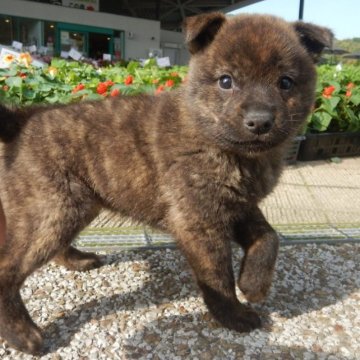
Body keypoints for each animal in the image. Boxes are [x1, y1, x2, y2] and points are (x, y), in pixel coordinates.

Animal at [0, 12, 332, 352]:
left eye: (285, 82)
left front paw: (253, 284)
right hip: (54, 208)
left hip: (69, 208)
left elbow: (269, 237)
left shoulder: (238, 204)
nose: (259, 121)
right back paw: (23, 335)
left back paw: (78, 260)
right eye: (226, 81)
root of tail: (22, 118)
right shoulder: (200, 219)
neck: (219, 143)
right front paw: (233, 315)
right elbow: (218, 276)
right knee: (7, 271)